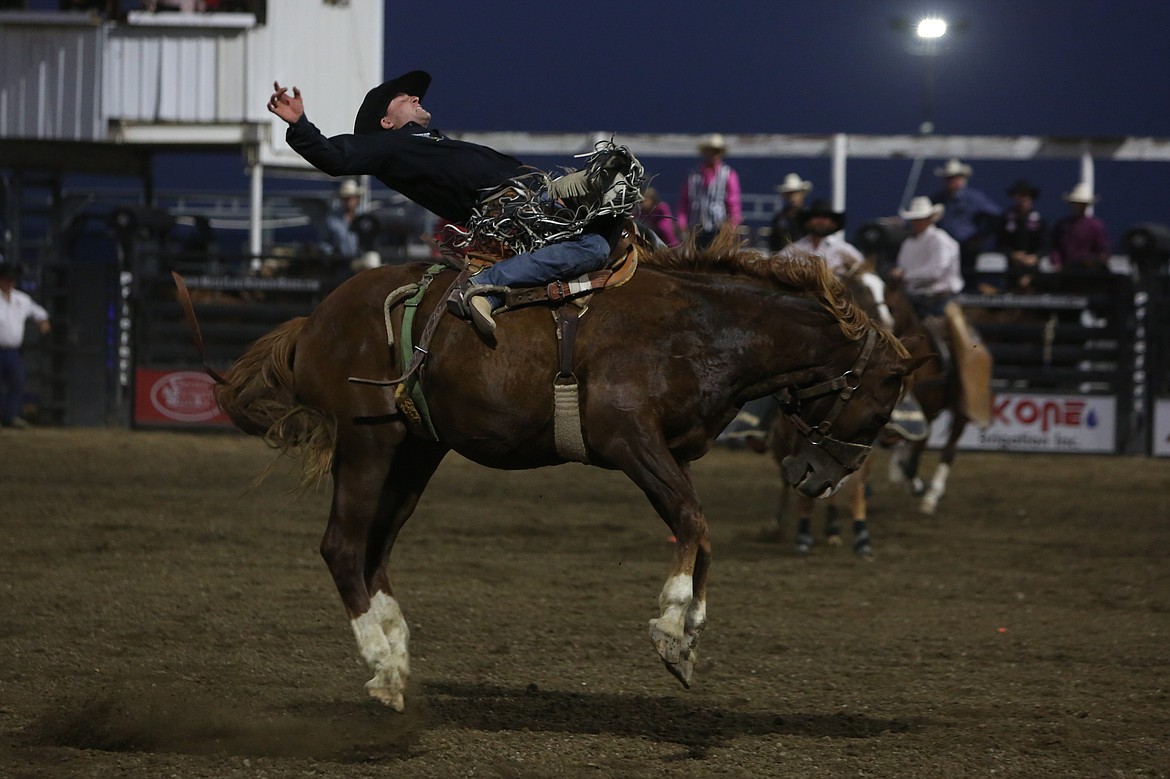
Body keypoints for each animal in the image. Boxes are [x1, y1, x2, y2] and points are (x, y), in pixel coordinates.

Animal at [208, 229, 921, 701]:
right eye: (880, 411)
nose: (815, 478)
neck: (702, 330)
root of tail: (316, 318)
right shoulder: (633, 443)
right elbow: (692, 522)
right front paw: (672, 630)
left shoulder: (666, 452)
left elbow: (697, 529)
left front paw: (689, 634)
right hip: (368, 445)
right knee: (341, 545)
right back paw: (381, 664)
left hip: (417, 451)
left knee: (375, 546)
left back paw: (398, 654)